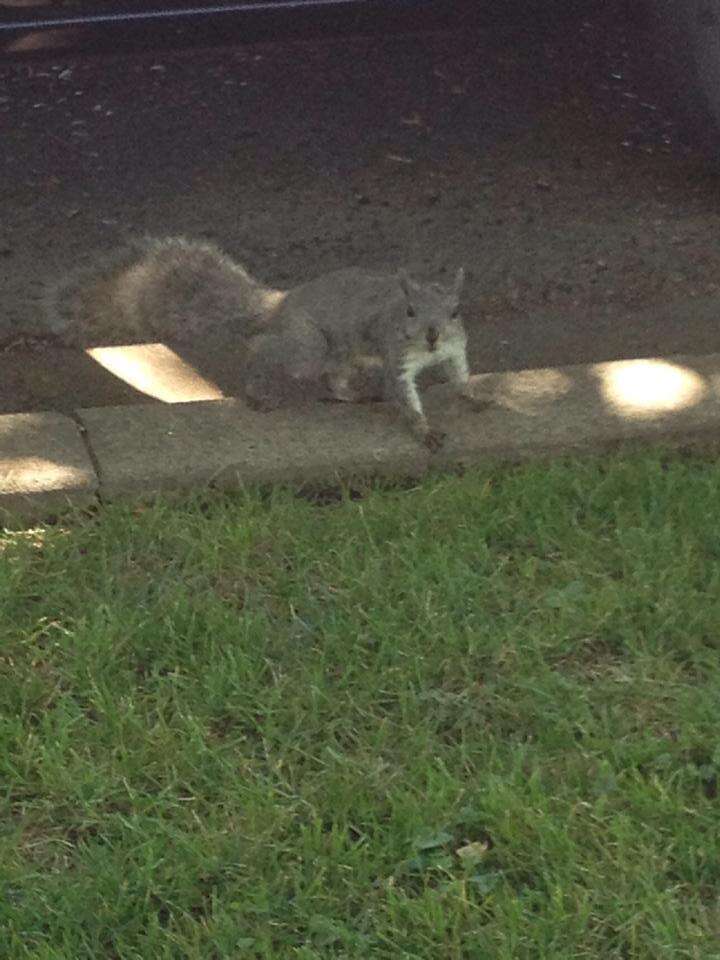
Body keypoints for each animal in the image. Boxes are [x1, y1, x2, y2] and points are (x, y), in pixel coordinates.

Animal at [47, 234, 480, 448]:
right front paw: (424, 430)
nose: (431, 335)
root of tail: (281, 303)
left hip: (340, 353)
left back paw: (355, 395)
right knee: (265, 350)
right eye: (409, 311)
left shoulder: (455, 350)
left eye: (456, 311)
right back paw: (258, 392)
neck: (429, 352)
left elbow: (460, 373)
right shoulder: (396, 355)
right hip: (307, 346)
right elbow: (403, 394)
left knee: (334, 379)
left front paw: (474, 394)